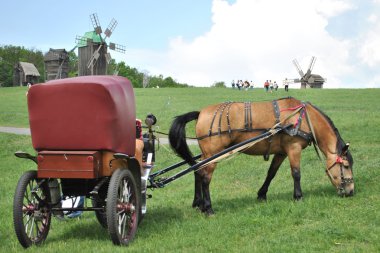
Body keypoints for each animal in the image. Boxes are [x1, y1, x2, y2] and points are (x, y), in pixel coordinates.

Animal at [169, 97, 354, 215]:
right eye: (345, 165)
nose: (351, 191)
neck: (302, 117)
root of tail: (200, 113)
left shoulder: (281, 152)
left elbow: (271, 173)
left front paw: (261, 195)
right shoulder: (293, 148)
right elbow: (296, 173)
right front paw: (298, 196)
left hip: (207, 155)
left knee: (197, 172)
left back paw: (198, 204)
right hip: (213, 155)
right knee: (205, 177)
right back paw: (208, 208)